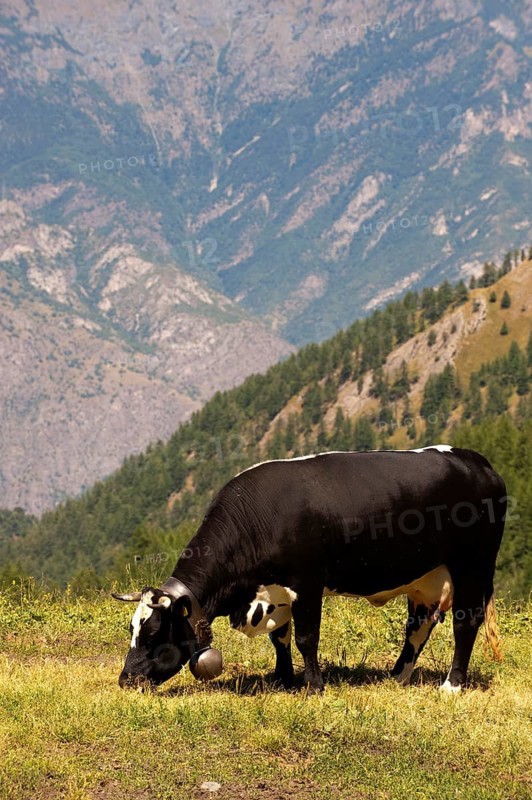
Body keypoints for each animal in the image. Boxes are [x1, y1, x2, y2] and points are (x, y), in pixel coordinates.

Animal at [113, 446, 506, 694]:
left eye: (152, 633)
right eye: (132, 628)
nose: (126, 680)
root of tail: (478, 462)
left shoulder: (307, 583)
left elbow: (305, 638)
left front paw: (313, 686)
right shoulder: (276, 592)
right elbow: (280, 637)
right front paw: (283, 679)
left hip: (473, 566)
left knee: (465, 623)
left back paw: (452, 685)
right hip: (427, 578)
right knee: (419, 626)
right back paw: (396, 677)